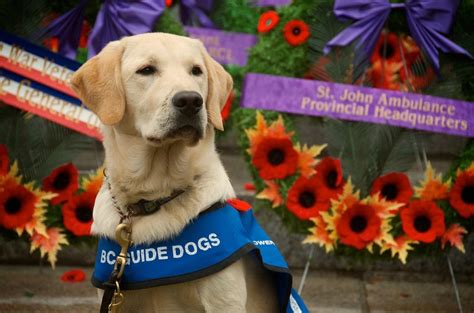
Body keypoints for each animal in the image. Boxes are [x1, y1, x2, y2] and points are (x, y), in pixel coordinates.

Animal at [71, 33, 278, 310]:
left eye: (196, 71)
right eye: (146, 70)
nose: (190, 100)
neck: (151, 197)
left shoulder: (225, 301)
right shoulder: (115, 298)